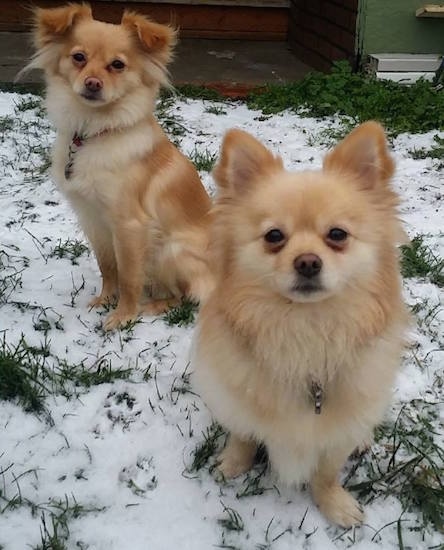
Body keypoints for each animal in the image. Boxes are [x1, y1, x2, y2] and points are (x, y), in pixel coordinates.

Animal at [27, 4, 213, 330]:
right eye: (79, 57)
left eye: (117, 65)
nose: (92, 83)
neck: (92, 131)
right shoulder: (93, 219)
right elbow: (108, 266)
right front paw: (105, 300)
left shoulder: (129, 225)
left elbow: (128, 276)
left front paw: (123, 315)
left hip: (171, 249)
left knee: (186, 296)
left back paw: (153, 305)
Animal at [193, 123, 408, 528]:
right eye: (274, 236)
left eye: (337, 235)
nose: (308, 262)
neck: (305, 329)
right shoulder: (239, 399)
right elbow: (243, 436)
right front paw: (231, 465)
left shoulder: (335, 429)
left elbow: (326, 471)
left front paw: (334, 504)